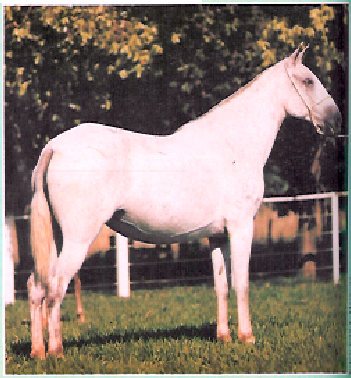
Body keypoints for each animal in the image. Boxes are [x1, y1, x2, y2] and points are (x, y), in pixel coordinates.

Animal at [27, 45, 340, 358]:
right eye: (308, 80)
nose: (335, 122)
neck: (232, 146)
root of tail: (55, 146)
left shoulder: (217, 236)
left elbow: (221, 285)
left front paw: (224, 337)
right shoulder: (241, 228)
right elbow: (241, 283)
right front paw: (247, 337)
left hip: (56, 238)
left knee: (36, 287)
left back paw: (38, 352)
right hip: (78, 238)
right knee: (55, 288)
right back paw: (56, 351)